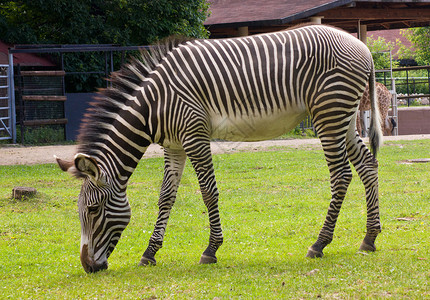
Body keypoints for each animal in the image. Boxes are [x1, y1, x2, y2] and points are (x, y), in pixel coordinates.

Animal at [56, 25, 382, 274]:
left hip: (329, 113)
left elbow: (208, 191)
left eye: (93, 210)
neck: (153, 106)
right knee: (367, 165)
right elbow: (166, 197)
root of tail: (362, 47)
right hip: (343, 117)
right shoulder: (174, 146)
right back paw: (369, 237)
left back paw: (319, 243)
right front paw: (150, 253)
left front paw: (211, 249)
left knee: (341, 176)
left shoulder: (194, 135)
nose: (88, 267)